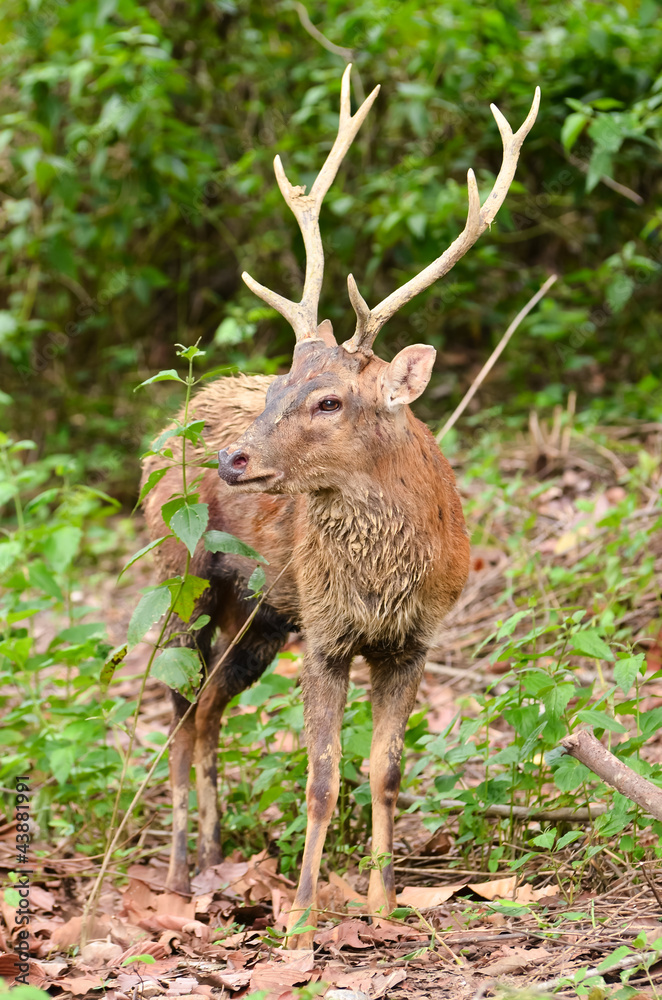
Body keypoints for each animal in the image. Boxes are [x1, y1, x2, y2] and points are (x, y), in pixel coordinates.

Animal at [143, 64, 544, 944]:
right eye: (279, 389)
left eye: (328, 400)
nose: (232, 458)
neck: (380, 580)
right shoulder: (327, 633)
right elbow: (322, 778)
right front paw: (299, 916)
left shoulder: (413, 639)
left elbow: (385, 770)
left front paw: (385, 904)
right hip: (179, 577)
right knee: (179, 713)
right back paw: (181, 872)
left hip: (259, 617)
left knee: (210, 710)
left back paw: (218, 856)